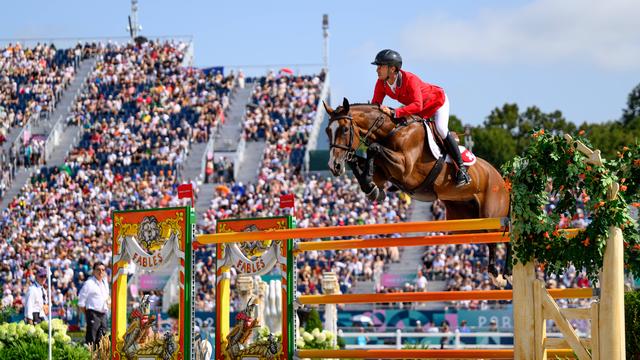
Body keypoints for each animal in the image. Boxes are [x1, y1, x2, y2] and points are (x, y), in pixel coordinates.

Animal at [324, 97, 510, 282]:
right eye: (327, 131)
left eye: (345, 129)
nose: (334, 166)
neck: (392, 130)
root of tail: (502, 179)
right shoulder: (383, 173)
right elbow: (360, 162)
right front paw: (372, 189)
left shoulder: (405, 169)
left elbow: (373, 148)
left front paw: (371, 186)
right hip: (466, 219)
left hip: (492, 214)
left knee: (501, 236)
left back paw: (499, 273)